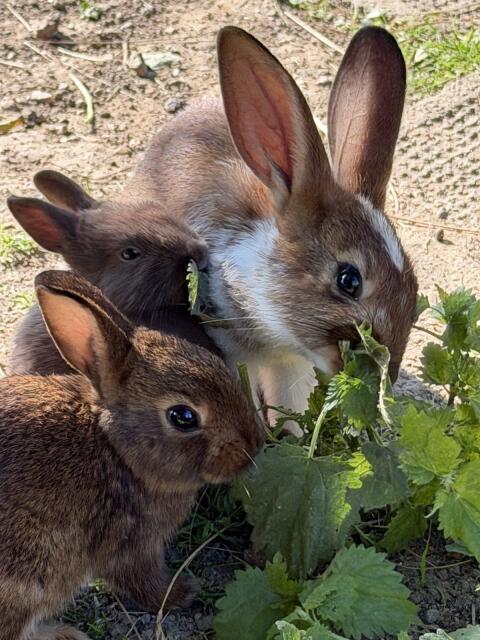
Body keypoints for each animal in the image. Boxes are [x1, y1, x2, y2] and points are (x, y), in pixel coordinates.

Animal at [0, 269, 260, 640]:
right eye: (183, 417)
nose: (252, 447)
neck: (116, 449)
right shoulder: (131, 543)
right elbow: (144, 584)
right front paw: (183, 591)